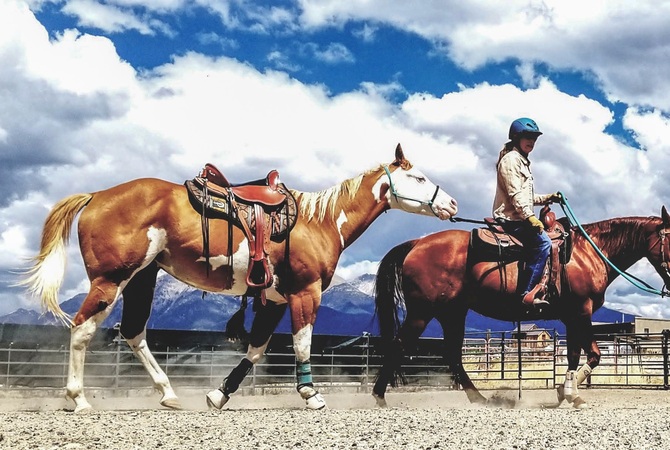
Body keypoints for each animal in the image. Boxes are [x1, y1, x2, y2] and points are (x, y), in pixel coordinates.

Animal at [22, 144, 462, 412]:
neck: (320, 222)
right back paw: (79, 399)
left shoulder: (275, 298)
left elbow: (255, 349)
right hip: (111, 279)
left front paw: (219, 394)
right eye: (418, 178)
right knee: (82, 328)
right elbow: (301, 343)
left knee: (133, 332)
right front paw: (311, 394)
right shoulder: (305, 293)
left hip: (142, 279)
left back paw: (169, 394)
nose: (454, 204)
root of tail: (97, 195)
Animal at [372, 206, 670, 410]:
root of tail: (416, 244)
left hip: (452, 312)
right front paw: (570, 394)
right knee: (399, 345)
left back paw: (478, 398)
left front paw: (566, 392)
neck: (588, 252)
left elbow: (574, 356)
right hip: (422, 312)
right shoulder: (582, 312)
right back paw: (379, 397)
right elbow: (594, 355)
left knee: (453, 355)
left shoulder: (572, 316)